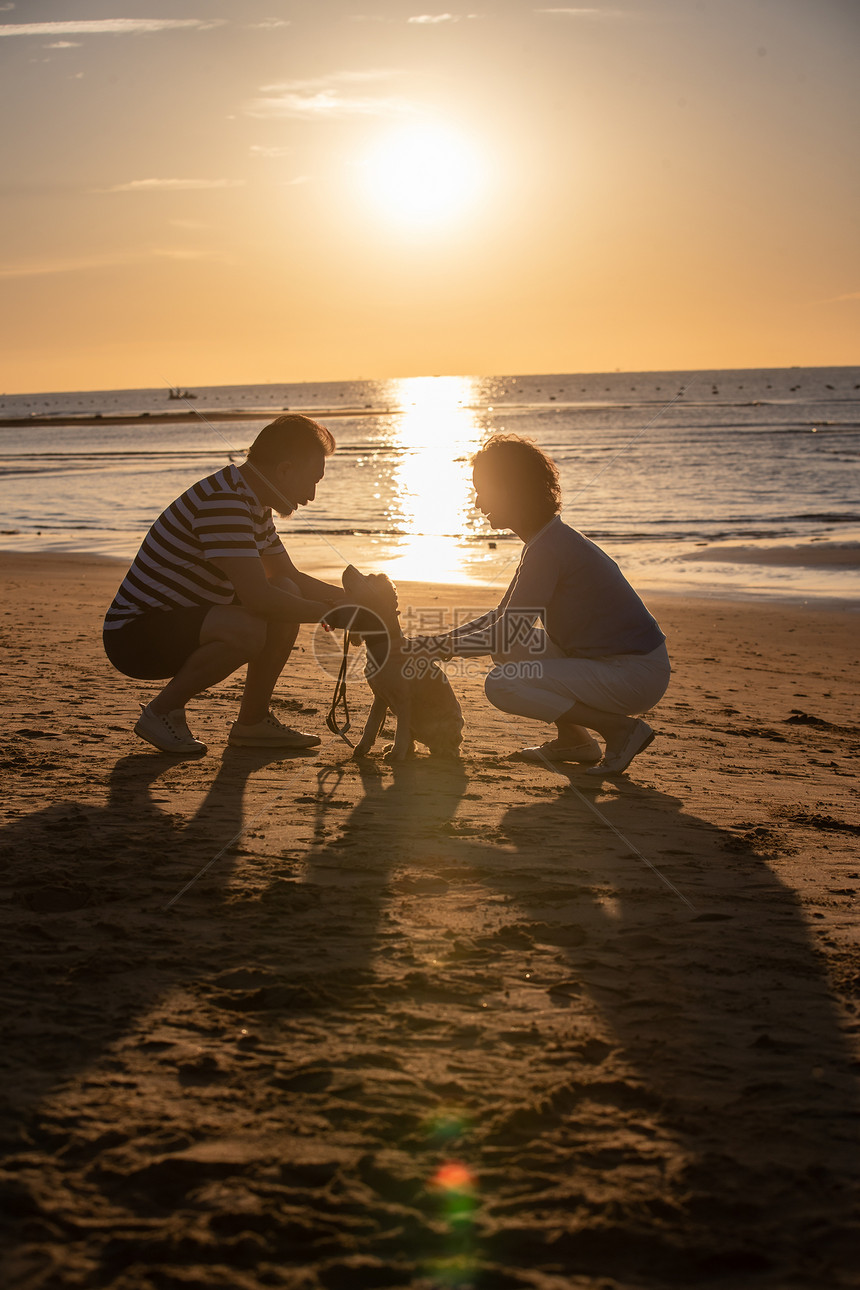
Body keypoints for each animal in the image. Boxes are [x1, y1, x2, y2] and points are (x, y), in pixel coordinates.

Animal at [340, 559, 464, 758]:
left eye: (369, 578)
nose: (349, 566)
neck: (384, 645)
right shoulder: (380, 697)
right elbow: (371, 725)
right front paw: (363, 747)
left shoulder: (404, 700)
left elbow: (400, 730)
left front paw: (397, 753)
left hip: (450, 723)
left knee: (452, 747)